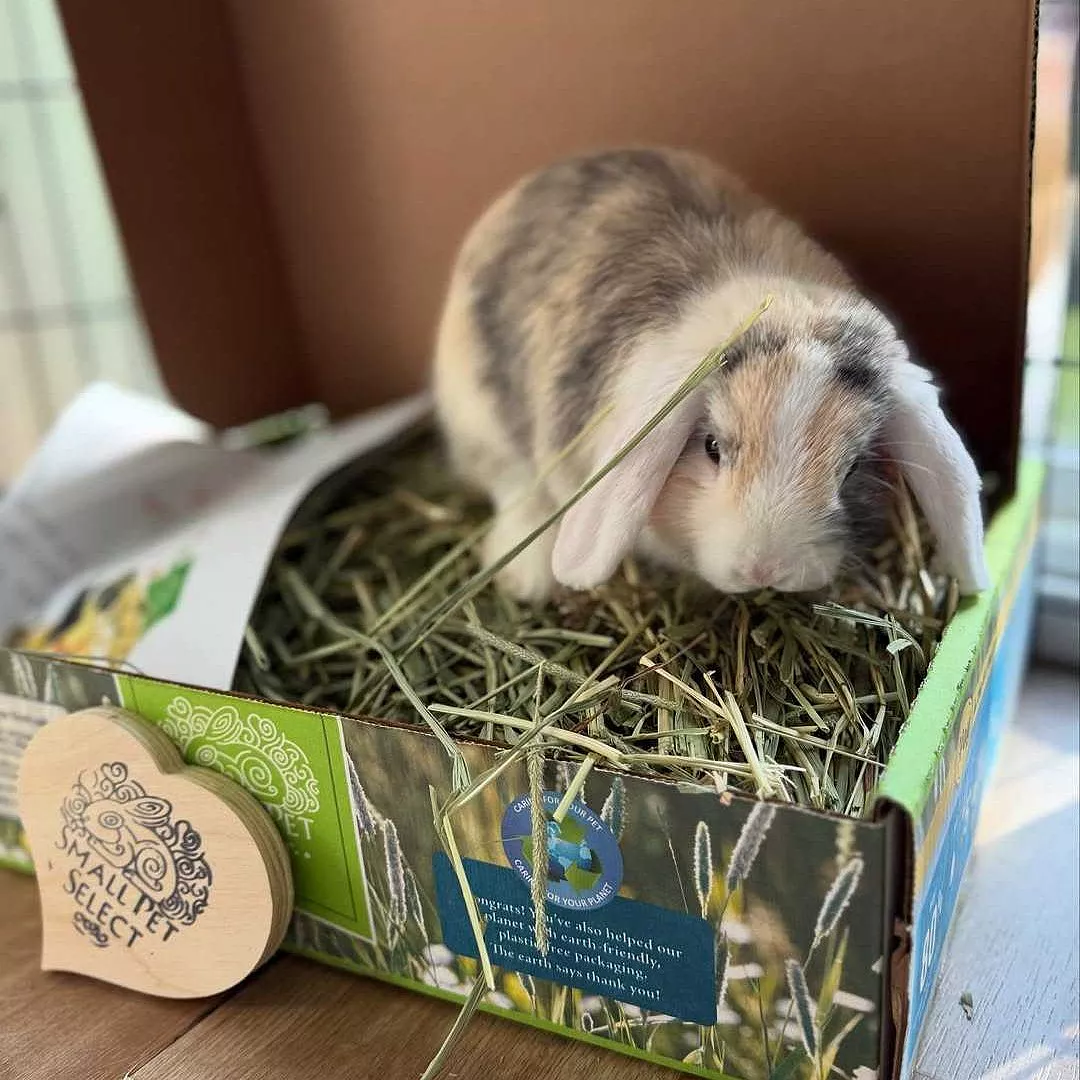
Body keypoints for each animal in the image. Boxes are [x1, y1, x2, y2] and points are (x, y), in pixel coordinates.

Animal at [433, 147, 988, 603]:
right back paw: (527, 577)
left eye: (852, 468)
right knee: (511, 482)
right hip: (476, 413)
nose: (765, 570)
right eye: (712, 447)